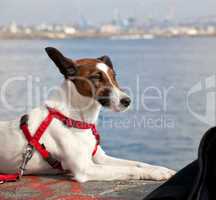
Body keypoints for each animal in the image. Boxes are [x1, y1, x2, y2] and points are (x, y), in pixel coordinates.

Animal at [0, 47, 176, 183]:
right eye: (96, 77)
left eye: (114, 76)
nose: (127, 101)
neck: (75, 118)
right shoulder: (85, 168)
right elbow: (128, 169)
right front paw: (155, 173)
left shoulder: (100, 158)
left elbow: (136, 163)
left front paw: (160, 169)